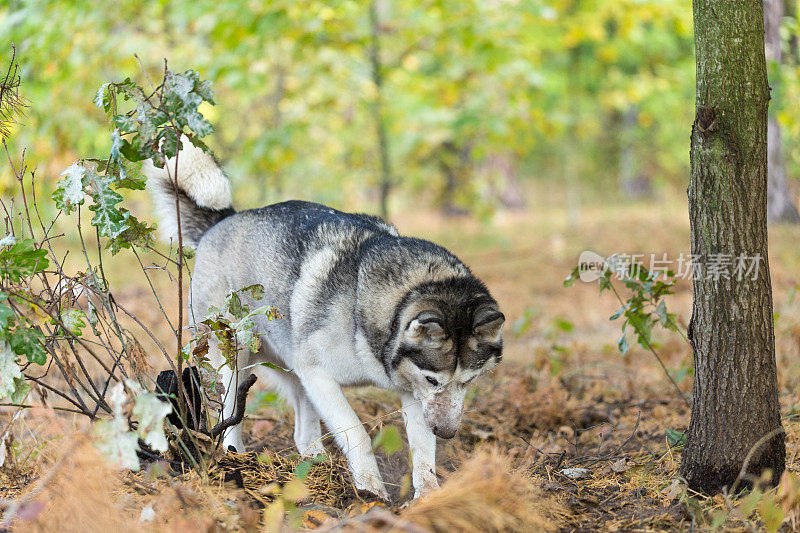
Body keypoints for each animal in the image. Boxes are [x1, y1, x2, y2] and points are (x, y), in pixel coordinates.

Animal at [144, 139, 504, 496]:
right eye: (433, 380)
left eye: (469, 381)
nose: (447, 432)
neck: (363, 299)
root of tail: (220, 222)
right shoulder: (321, 375)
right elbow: (356, 432)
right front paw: (370, 489)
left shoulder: (407, 391)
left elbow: (421, 447)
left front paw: (429, 493)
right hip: (237, 359)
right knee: (231, 414)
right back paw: (235, 456)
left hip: (294, 369)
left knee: (303, 434)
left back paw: (315, 464)